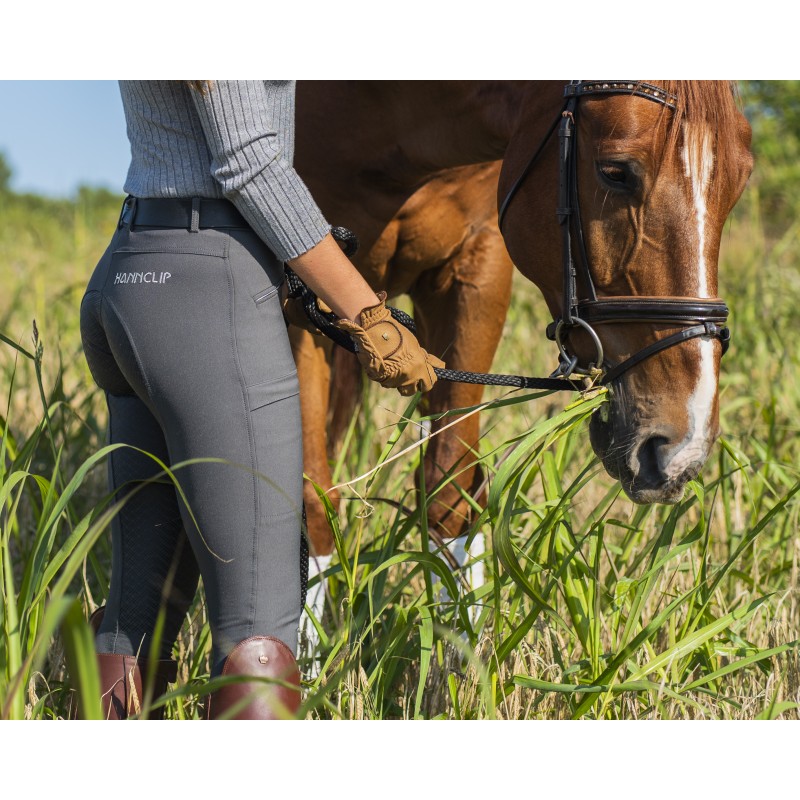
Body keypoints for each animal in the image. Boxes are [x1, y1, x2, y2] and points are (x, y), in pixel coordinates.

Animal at [291, 81, 753, 563]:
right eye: (615, 172)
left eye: (739, 182)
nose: (682, 450)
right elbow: (314, 503)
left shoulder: (477, 271)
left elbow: (450, 489)